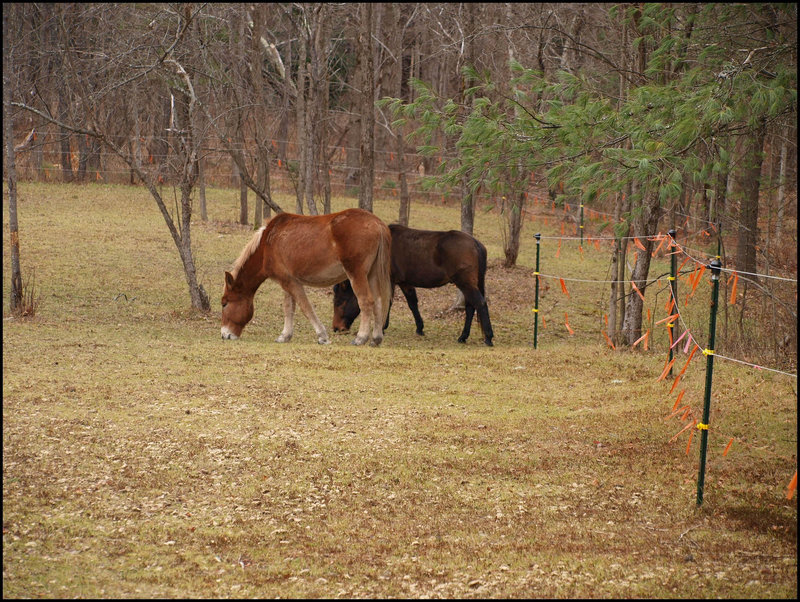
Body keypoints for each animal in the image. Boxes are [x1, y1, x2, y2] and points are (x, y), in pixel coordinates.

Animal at [222, 207, 390, 344]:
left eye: (225, 303)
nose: (225, 335)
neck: (268, 242)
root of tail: (377, 223)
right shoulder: (287, 282)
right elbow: (288, 307)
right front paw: (285, 335)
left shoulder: (290, 283)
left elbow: (305, 307)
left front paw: (322, 336)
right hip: (371, 275)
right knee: (378, 302)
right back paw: (376, 338)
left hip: (357, 275)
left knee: (366, 301)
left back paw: (361, 338)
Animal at [332, 223, 494, 344]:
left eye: (340, 302)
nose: (336, 328)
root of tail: (476, 243)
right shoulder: (405, 283)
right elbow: (412, 304)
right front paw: (420, 328)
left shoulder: (389, 280)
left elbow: (387, 302)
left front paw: (382, 327)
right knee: (470, 307)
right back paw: (463, 336)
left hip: (465, 283)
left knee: (479, 303)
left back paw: (488, 337)